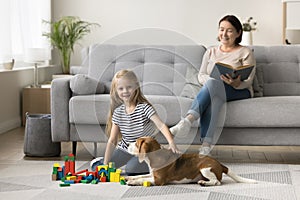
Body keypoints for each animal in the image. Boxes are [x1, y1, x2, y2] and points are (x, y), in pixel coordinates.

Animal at [125, 137, 256, 187]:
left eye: (136, 144)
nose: (126, 145)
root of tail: (220, 164)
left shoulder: (158, 180)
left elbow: (142, 179)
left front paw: (132, 182)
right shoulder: (152, 174)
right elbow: (141, 176)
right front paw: (129, 178)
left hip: (205, 168)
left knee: (217, 182)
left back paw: (204, 183)